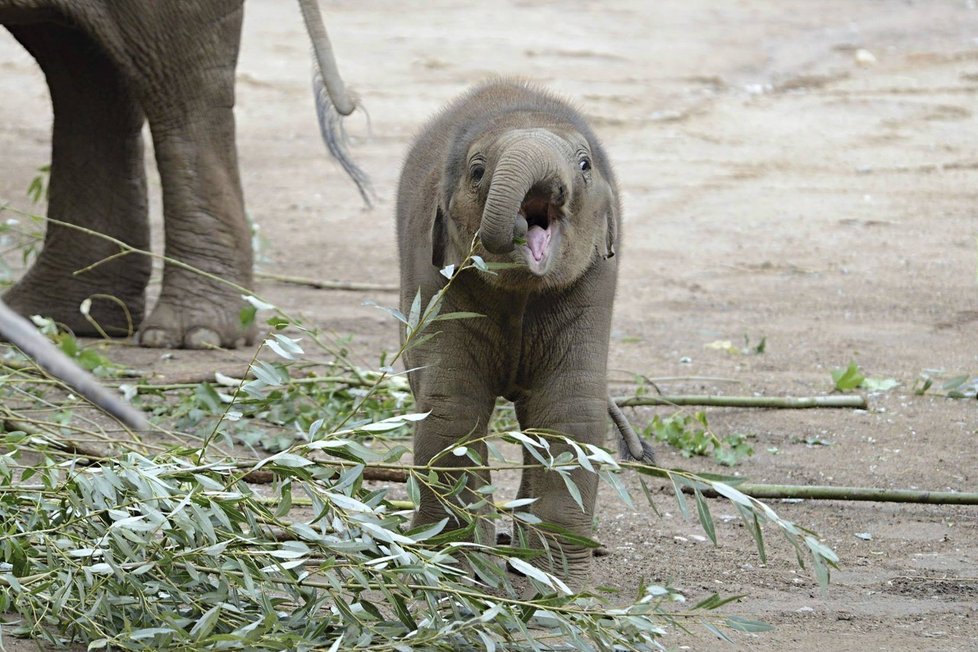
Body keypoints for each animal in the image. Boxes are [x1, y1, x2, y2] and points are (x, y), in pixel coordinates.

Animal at [398, 80, 620, 584]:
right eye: (478, 171)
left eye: (584, 164)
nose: (521, 219)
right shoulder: (438, 278)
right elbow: (452, 406)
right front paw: (455, 570)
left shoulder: (595, 279)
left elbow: (569, 410)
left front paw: (559, 584)